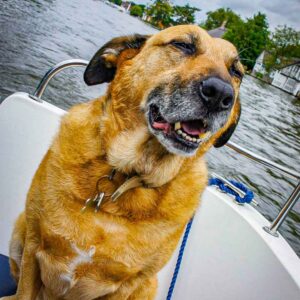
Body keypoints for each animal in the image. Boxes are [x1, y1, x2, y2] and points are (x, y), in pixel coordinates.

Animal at [4, 25, 243, 300]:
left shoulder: (129, 283)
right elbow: (24, 290)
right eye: (183, 45)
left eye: (236, 72)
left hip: (148, 285)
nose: (221, 94)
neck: (124, 174)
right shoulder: (33, 243)